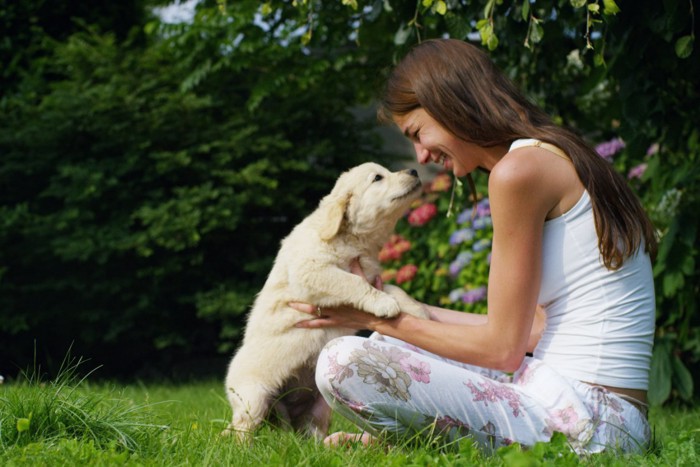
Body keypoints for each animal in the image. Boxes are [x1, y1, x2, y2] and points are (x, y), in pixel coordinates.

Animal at [221, 163, 430, 440]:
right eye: (377, 178)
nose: (414, 171)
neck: (351, 239)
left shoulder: (372, 275)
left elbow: (395, 289)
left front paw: (419, 311)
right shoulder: (313, 271)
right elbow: (353, 283)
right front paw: (384, 305)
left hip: (321, 405)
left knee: (310, 431)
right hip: (252, 399)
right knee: (238, 431)